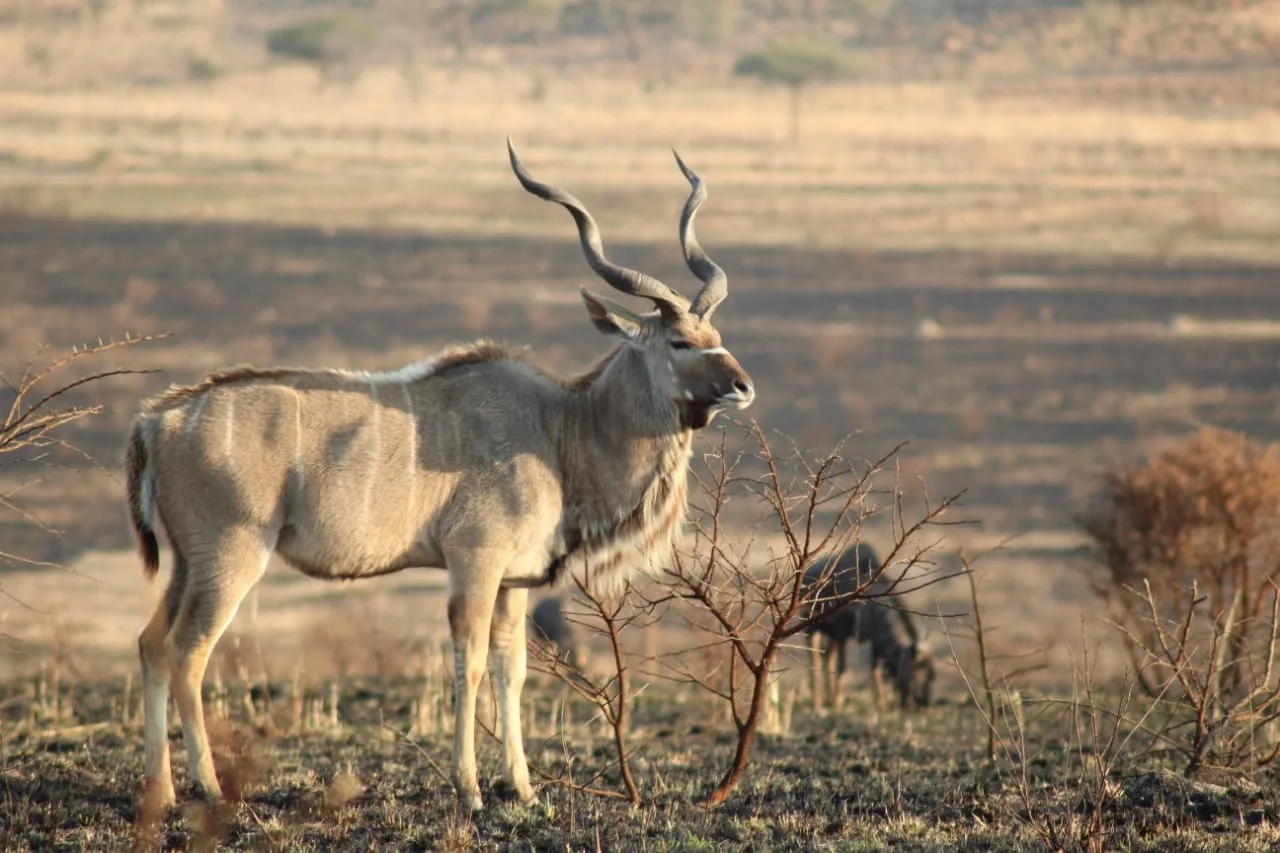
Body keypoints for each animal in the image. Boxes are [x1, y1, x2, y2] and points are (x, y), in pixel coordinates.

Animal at [124, 138, 754, 813]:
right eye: (680, 343)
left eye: (716, 334)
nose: (742, 386)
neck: (561, 427)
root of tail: (157, 419)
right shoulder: (474, 562)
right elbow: (470, 661)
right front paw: (471, 789)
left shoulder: (514, 580)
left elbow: (512, 669)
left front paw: (523, 788)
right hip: (230, 556)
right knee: (188, 652)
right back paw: (210, 788)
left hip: (188, 564)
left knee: (151, 645)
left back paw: (160, 793)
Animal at [802, 543, 936, 712]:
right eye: (916, 670)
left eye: (933, 675)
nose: (924, 704)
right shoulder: (841, 634)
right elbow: (842, 668)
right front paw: (838, 702)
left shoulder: (874, 641)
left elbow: (875, 671)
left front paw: (881, 703)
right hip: (812, 631)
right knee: (816, 662)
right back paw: (818, 702)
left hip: (830, 637)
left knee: (827, 660)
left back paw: (828, 699)